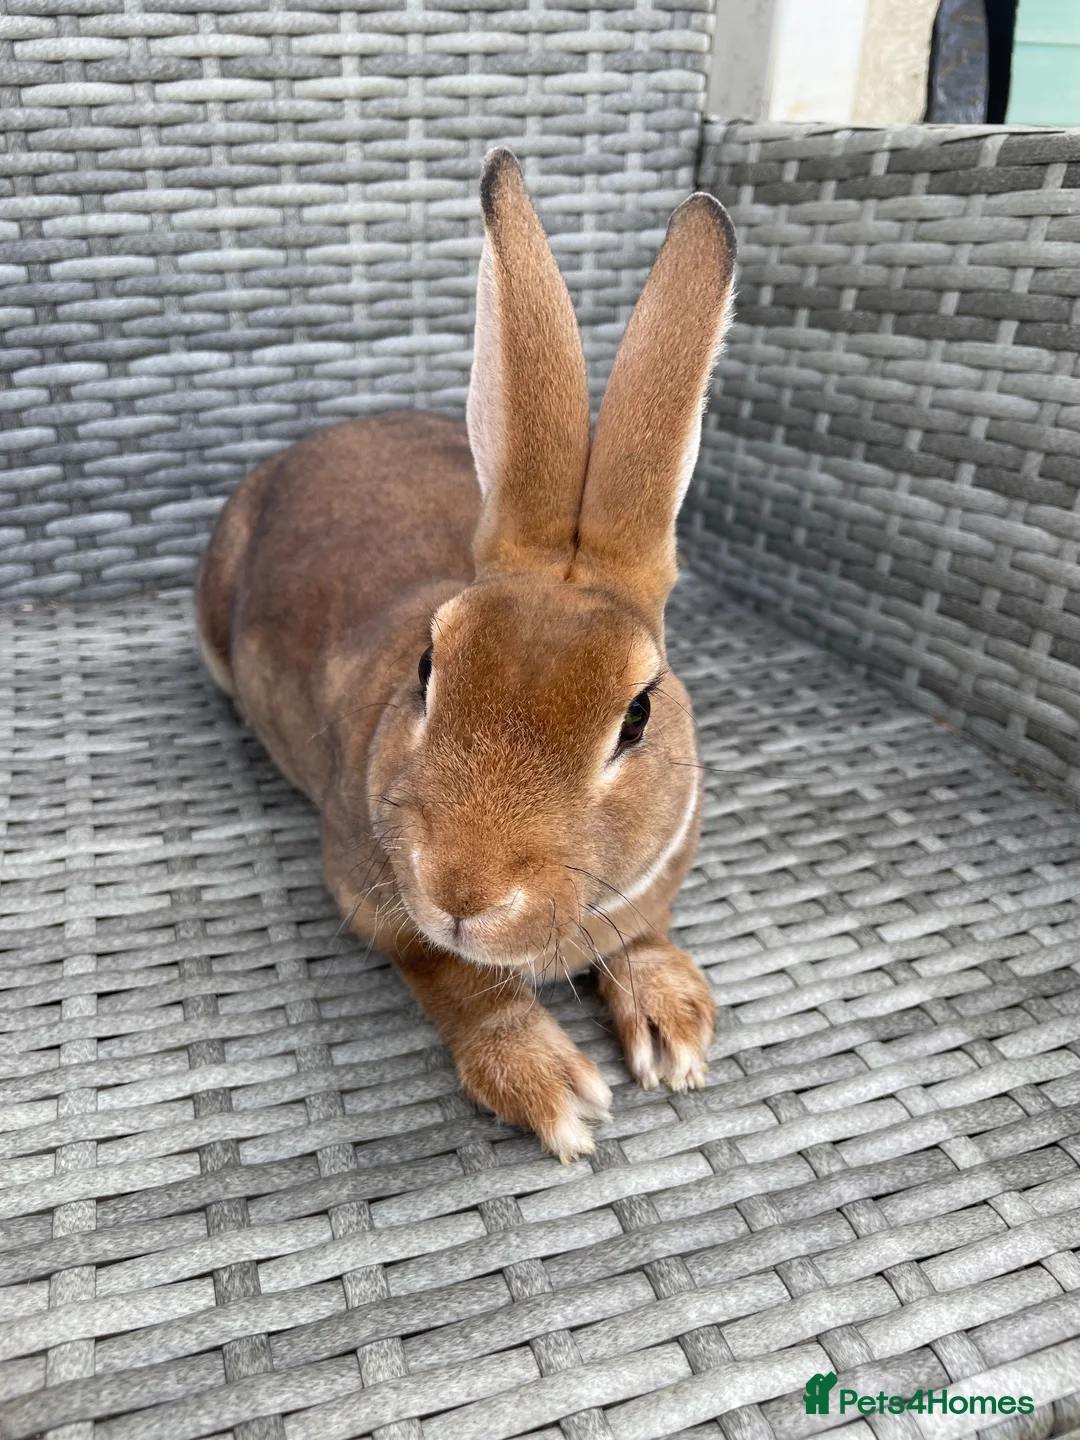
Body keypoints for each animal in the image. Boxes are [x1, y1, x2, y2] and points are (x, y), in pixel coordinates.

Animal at [195, 148, 737, 1161]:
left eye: (637, 715)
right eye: (428, 667)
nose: (463, 891)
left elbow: (639, 936)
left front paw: (675, 1027)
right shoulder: (374, 897)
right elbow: (458, 982)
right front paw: (550, 1087)